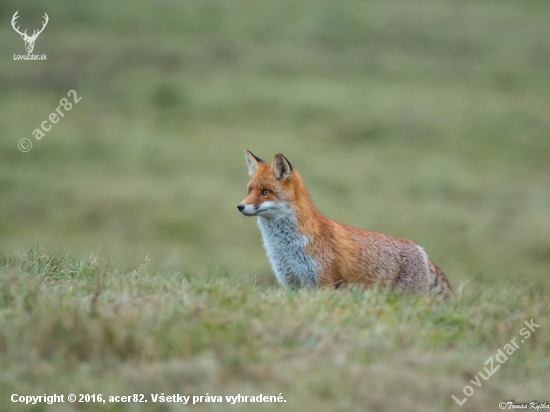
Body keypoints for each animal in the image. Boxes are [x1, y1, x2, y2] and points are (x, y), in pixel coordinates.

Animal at [239, 150, 454, 298]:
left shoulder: (323, 283)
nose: (240, 206)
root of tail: (420, 250)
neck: (285, 247)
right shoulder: (292, 283)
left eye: (265, 192)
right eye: (249, 190)